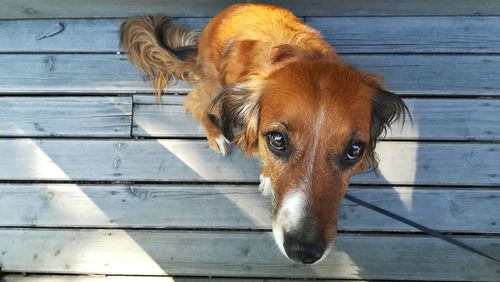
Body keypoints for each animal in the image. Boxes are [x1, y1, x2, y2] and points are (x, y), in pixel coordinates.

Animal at [120, 2, 406, 264]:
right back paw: (216, 135)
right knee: (195, 102)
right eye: (277, 140)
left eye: (354, 151)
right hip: (215, 88)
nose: (304, 252)